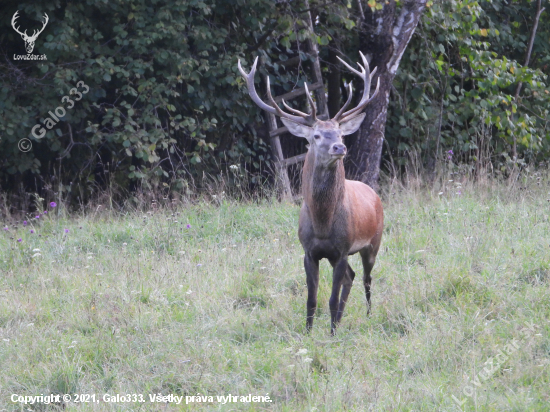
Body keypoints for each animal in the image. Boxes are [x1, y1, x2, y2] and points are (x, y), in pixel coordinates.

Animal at [239, 51, 386, 334]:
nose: (339, 147)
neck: (322, 223)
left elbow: (331, 297)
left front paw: (331, 334)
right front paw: (309, 332)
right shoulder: (309, 251)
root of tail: (374, 195)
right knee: (352, 277)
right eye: (316, 135)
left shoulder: (342, 248)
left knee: (367, 278)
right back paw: (341, 319)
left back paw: (368, 315)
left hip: (373, 242)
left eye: (340, 133)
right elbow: (312, 298)